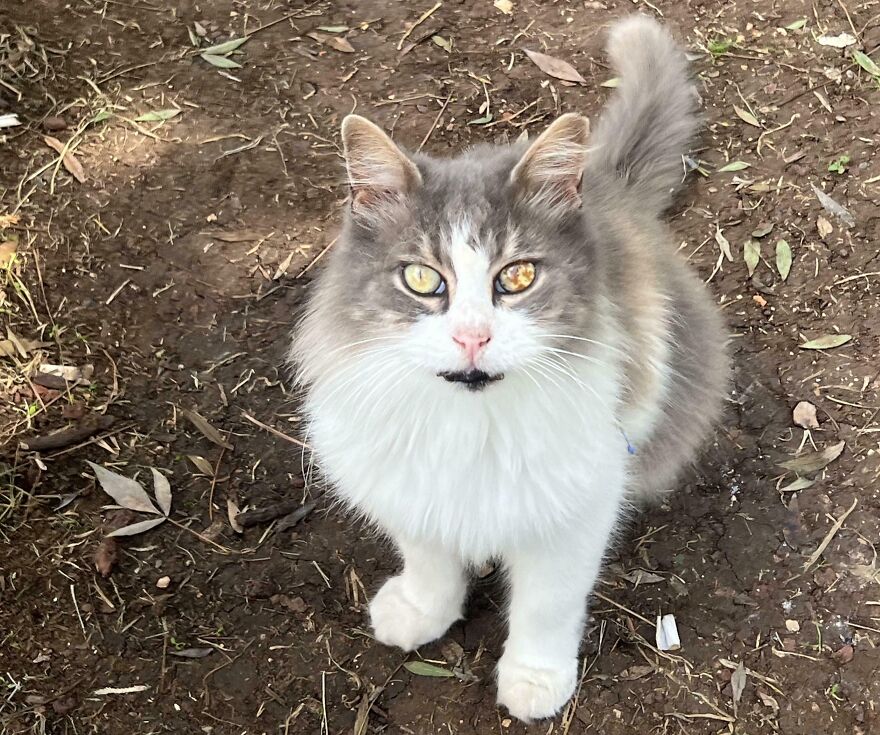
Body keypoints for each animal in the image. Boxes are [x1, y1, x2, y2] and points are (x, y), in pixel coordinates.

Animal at [290, 14, 728, 720]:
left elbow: (547, 604)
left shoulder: (575, 507)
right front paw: (421, 609)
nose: (473, 336)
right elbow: (428, 556)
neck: (472, 425)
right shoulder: (406, 482)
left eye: (516, 277)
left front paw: (534, 678)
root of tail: (605, 184)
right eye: (422, 279)